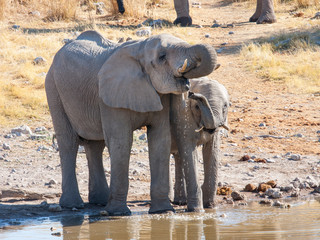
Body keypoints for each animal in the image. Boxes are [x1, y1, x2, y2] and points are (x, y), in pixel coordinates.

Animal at [45, 30, 219, 216]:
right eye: (162, 56)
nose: (192, 93)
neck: (140, 48)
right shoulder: (110, 95)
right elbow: (121, 142)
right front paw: (118, 213)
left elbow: (160, 139)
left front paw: (162, 211)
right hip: (53, 88)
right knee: (68, 143)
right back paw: (73, 205)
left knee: (95, 145)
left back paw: (100, 201)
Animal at [170, 77, 230, 212]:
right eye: (197, 106)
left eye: (225, 106)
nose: (191, 94)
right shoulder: (183, 115)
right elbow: (189, 150)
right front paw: (197, 210)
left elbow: (212, 151)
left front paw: (210, 206)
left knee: (178, 156)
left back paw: (180, 201)